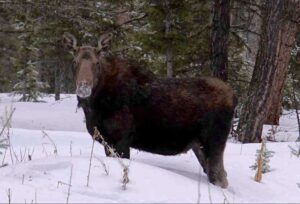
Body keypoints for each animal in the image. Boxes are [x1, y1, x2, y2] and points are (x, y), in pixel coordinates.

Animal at [62, 32, 237, 188]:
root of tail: (233, 97)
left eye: (97, 63)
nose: (84, 87)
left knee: (220, 178)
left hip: (214, 142)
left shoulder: (122, 139)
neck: (94, 106)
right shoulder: (107, 141)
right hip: (198, 145)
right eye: (74, 62)